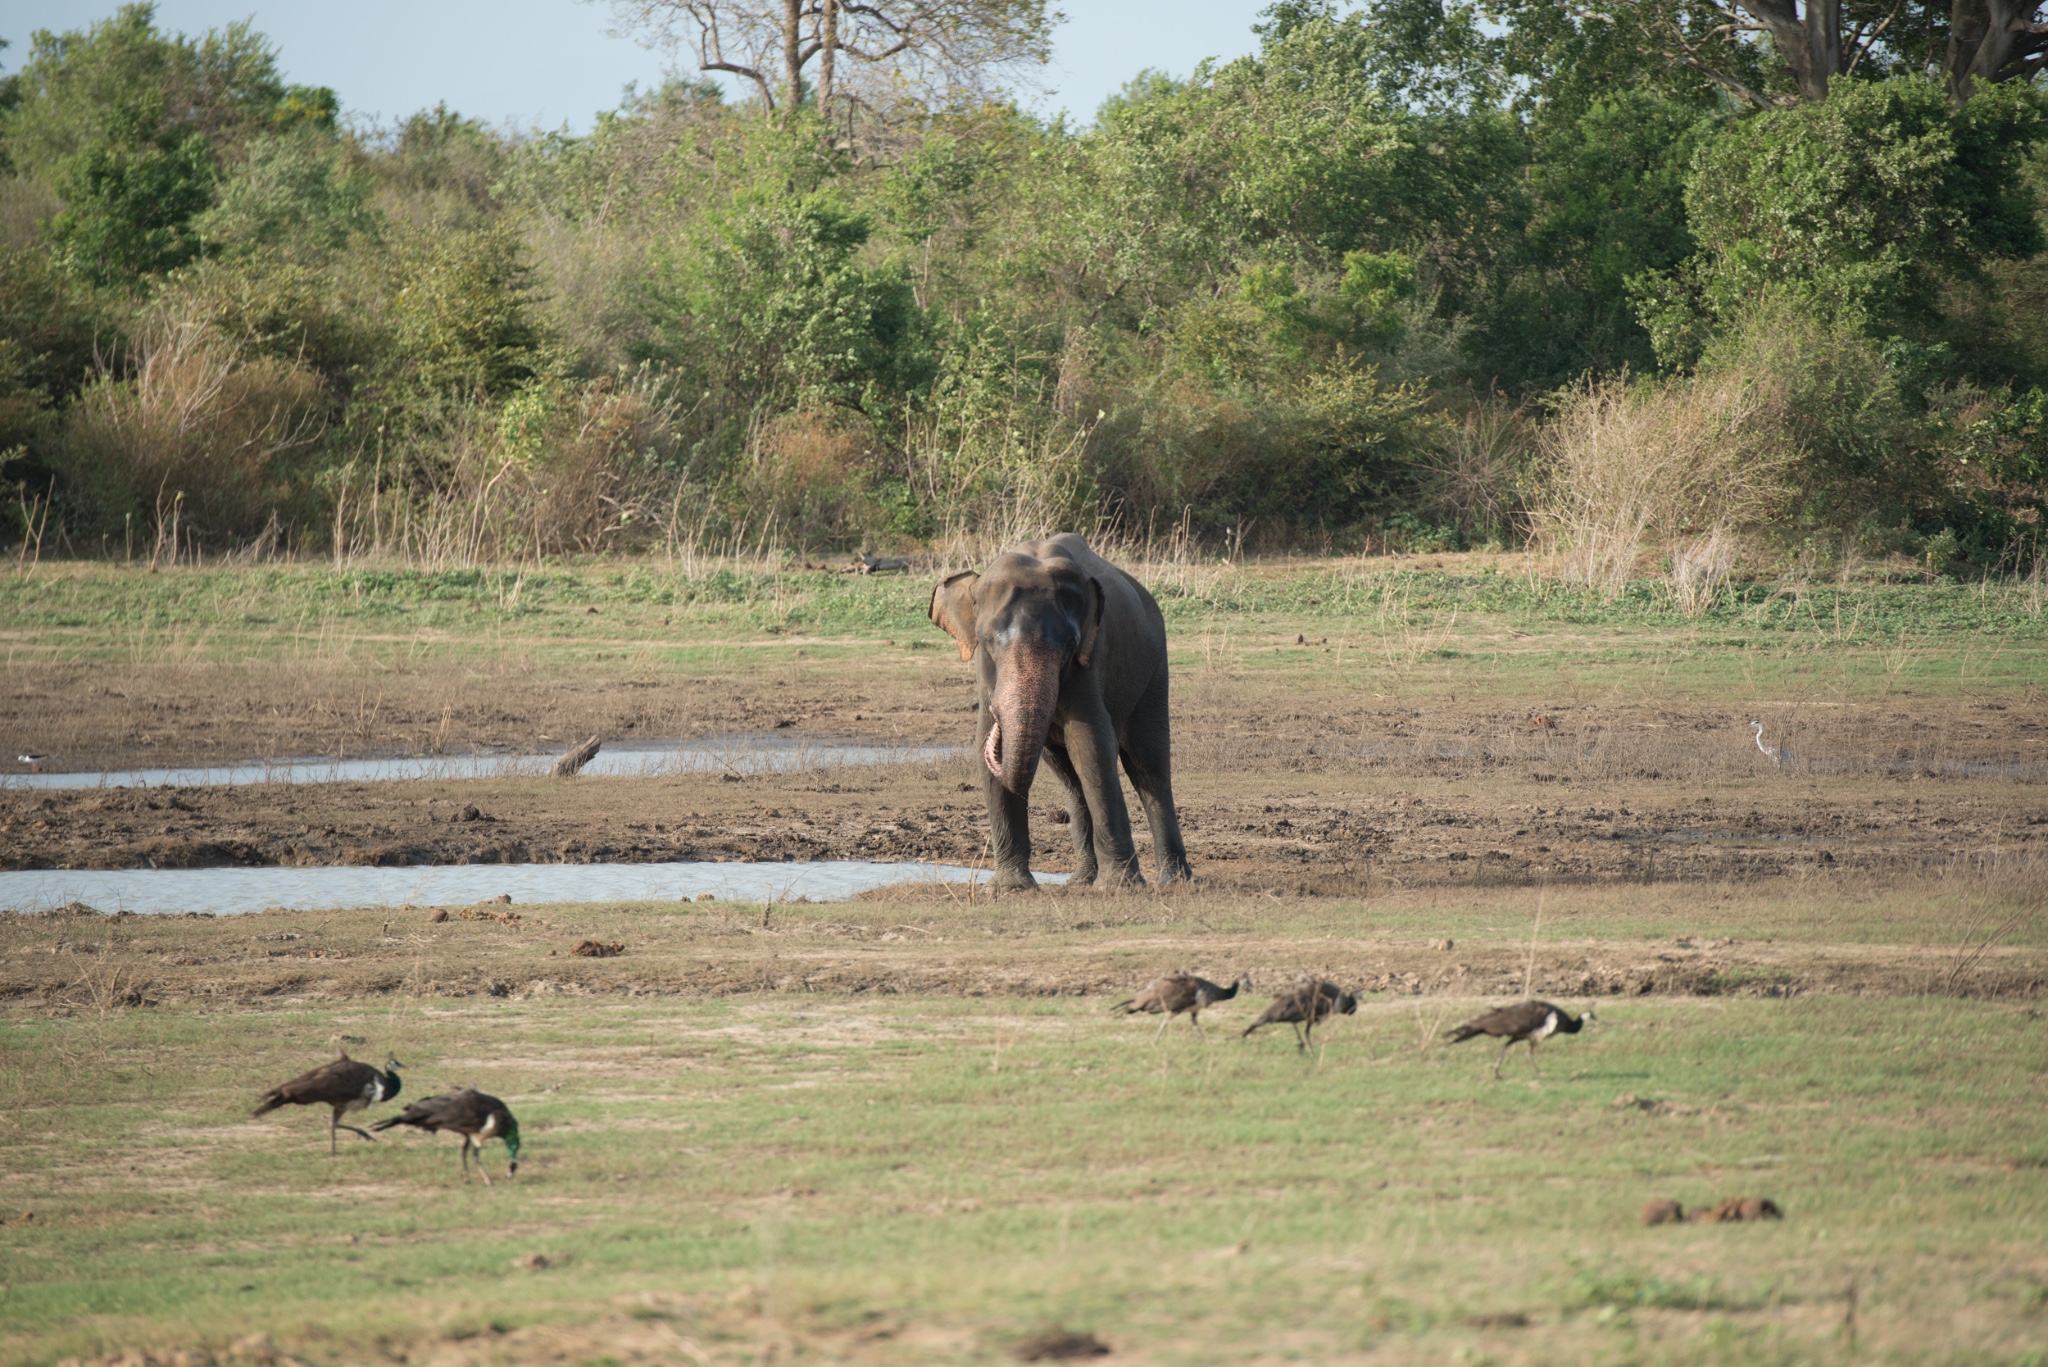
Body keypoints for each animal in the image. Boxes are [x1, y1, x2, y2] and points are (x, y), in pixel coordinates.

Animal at [933, 528, 1196, 893]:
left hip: (1154, 672)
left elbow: (1092, 744)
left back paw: (1174, 881)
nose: (999, 721)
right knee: (1071, 779)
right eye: (987, 641)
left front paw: (1118, 888)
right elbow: (983, 757)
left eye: (1069, 644)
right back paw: (1082, 880)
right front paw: (1010, 889)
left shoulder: (1090, 658)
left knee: (1149, 767)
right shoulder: (985, 673)